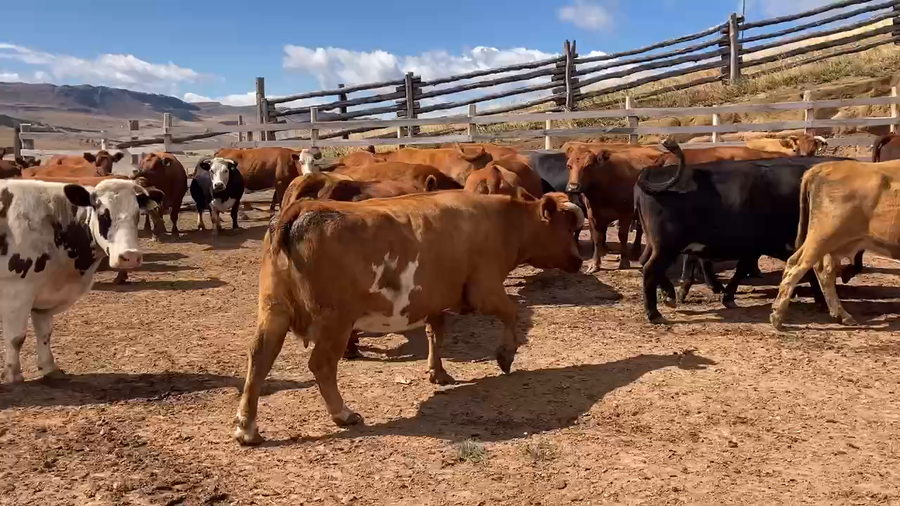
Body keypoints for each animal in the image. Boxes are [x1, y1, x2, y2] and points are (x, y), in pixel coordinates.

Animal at [0, 179, 163, 382]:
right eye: (103, 214)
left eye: (137, 215)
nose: (130, 256)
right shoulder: (16, 292)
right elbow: (16, 338)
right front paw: (13, 375)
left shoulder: (45, 294)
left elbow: (45, 333)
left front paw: (49, 367)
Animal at [233, 191, 585, 444]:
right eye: (569, 227)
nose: (580, 261)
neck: (502, 222)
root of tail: (301, 208)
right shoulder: (485, 288)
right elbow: (511, 311)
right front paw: (506, 355)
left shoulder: (435, 300)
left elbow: (436, 332)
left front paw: (437, 372)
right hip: (336, 322)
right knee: (321, 365)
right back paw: (342, 413)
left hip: (274, 309)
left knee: (259, 357)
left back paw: (247, 428)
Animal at [634, 139, 847, 324]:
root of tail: (653, 172)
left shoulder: (755, 247)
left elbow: (742, 269)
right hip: (667, 246)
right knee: (650, 269)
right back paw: (654, 313)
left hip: (658, 245)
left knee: (647, 264)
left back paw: (670, 295)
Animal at [770, 159, 900, 330]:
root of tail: (823, 166)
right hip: (823, 237)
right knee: (799, 266)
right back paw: (777, 317)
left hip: (830, 243)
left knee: (820, 271)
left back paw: (842, 316)